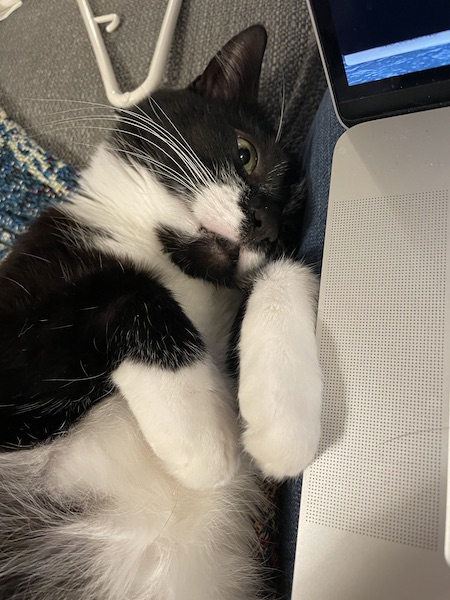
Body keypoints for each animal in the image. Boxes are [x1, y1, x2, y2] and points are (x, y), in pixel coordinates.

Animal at [0, 25, 324, 600]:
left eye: (288, 221)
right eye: (246, 154)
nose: (264, 223)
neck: (164, 253)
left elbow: (281, 271)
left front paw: (282, 423)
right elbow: (131, 289)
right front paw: (203, 441)